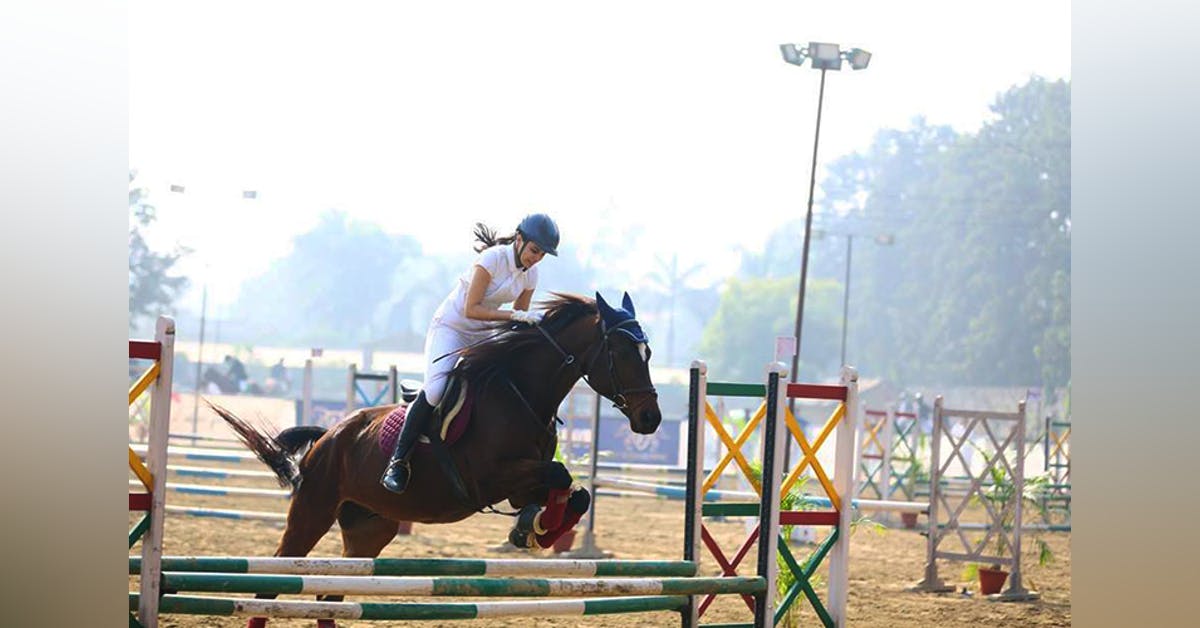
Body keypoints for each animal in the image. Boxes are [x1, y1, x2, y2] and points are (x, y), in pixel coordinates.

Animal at [209, 292, 662, 628]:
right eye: (623, 351)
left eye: (648, 352)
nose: (651, 419)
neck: (522, 394)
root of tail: (327, 438)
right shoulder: (490, 478)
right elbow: (560, 473)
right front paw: (536, 528)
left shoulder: (521, 484)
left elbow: (574, 491)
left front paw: (535, 530)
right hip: (311, 514)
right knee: (271, 587)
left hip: (369, 531)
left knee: (328, 597)